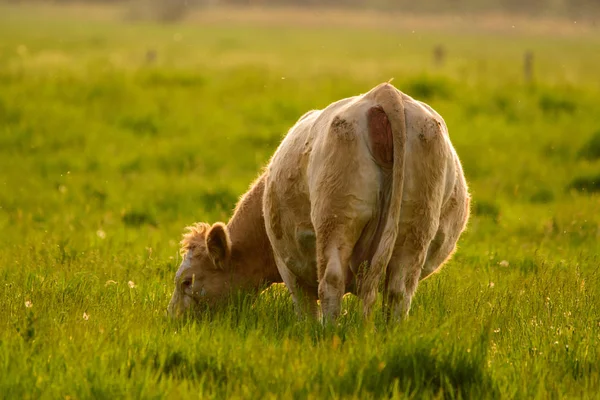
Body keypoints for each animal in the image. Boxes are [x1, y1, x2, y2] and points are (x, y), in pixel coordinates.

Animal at [168, 83, 468, 324]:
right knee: (399, 290)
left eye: (186, 281)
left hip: (336, 220)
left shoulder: (288, 267)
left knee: (331, 283)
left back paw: (328, 332)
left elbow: (306, 308)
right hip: (415, 227)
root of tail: (384, 94)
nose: (171, 320)